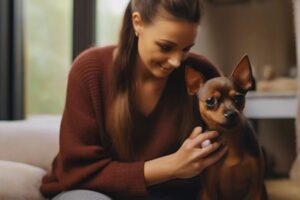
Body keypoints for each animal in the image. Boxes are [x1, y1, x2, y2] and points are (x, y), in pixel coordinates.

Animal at [186, 55, 268, 200]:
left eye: (239, 98)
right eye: (210, 101)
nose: (231, 113)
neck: (230, 138)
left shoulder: (257, 188)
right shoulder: (209, 191)